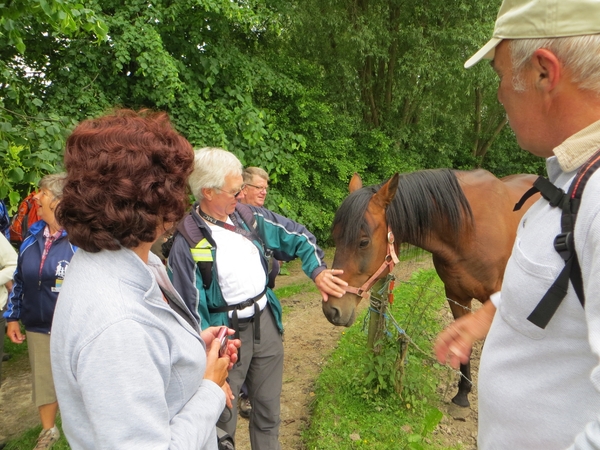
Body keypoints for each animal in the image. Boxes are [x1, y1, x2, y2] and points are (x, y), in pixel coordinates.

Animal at [324, 169, 540, 408]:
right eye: (336, 237)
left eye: (363, 242)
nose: (332, 310)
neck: (469, 229)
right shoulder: (456, 297)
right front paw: (462, 394)